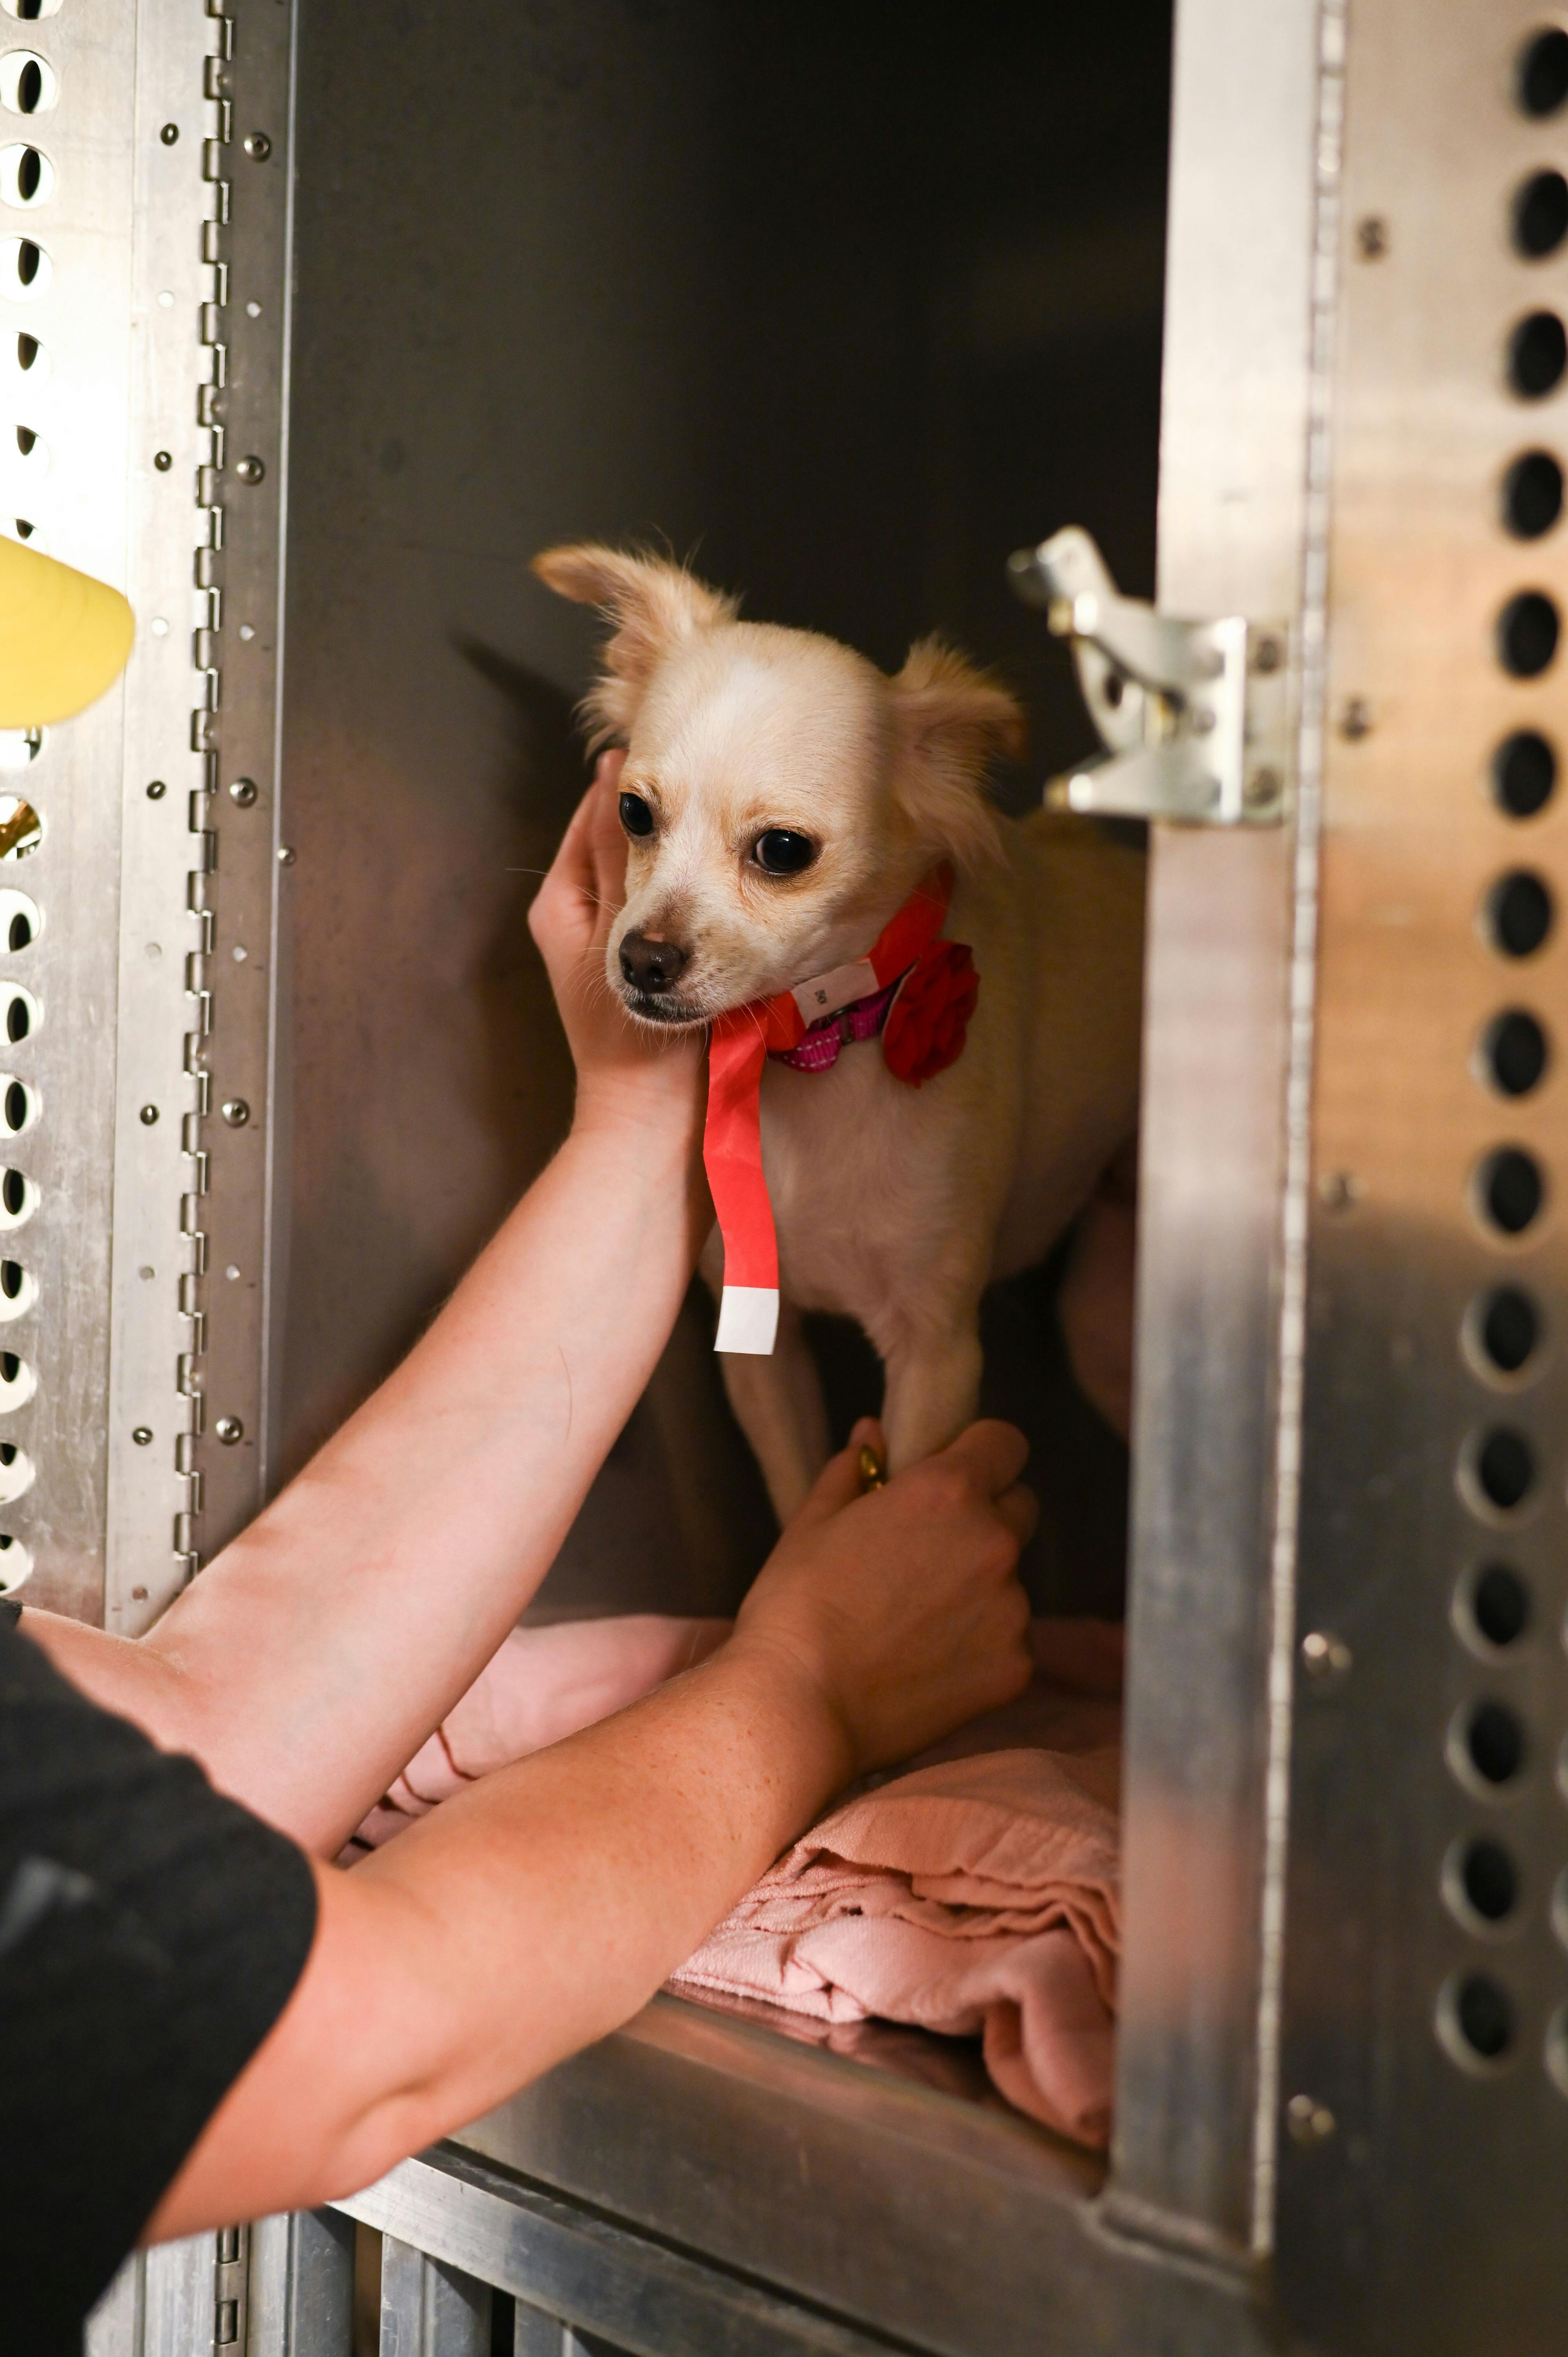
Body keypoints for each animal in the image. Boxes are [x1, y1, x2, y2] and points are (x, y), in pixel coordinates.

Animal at [535, 542, 1136, 1518]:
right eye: (634, 814)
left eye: (783, 851)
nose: (644, 960)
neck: (808, 1057)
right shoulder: (763, 1347)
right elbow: (795, 1498)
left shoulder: (935, 1355)